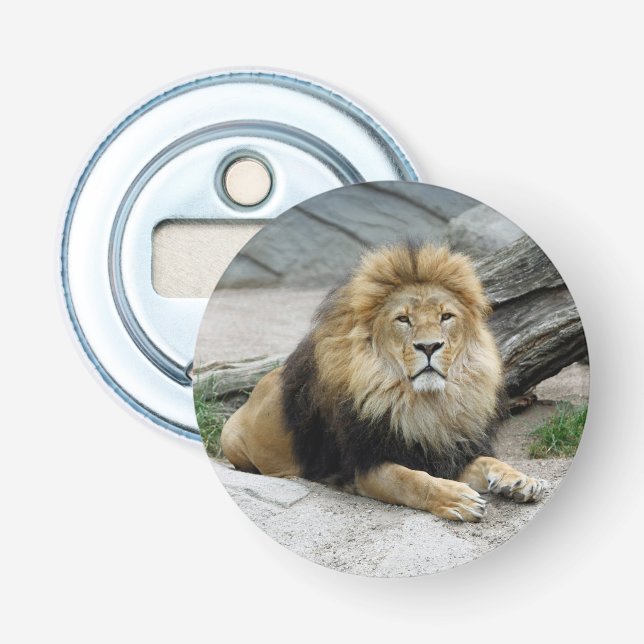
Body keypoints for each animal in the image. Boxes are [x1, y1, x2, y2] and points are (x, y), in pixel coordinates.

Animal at [220, 242, 546, 522]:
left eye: (446, 317)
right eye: (403, 319)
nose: (429, 346)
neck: (425, 403)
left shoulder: (444, 451)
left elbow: (487, 461)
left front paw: (519, 479)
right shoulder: (363, 466)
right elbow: (412, 480)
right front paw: (457, 498)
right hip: (230, 438)